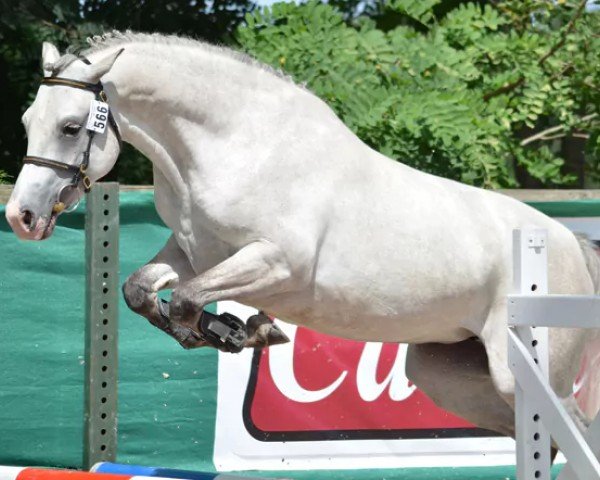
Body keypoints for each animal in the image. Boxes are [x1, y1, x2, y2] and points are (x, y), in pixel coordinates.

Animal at [4, 32, 600, 442]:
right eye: (28, 120)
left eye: (71, 128)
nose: (21, 217)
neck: (233, 144)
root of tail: (569, 242)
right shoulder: (194, 251)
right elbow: (141, 291)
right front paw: (236, 331)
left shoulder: (275, 263)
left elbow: (188, 301)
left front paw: (243, 332)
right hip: (448, 374)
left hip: (524, 369)